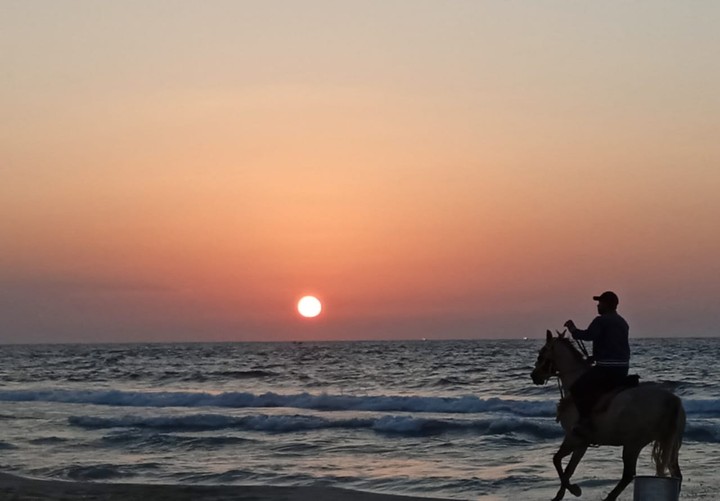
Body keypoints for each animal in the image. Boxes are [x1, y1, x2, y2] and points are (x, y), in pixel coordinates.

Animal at [532, 330, 684, 500]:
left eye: (541, 354)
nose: (534, 376)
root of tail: (672, 399)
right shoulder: (582, 443)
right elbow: (569, 469)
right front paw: (561, 495)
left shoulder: (573, 437)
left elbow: (557, 460)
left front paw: (574, 490)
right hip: (670, 444)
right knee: (676, 473)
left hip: (633, 444)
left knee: (628, 474)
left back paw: (609, 497)